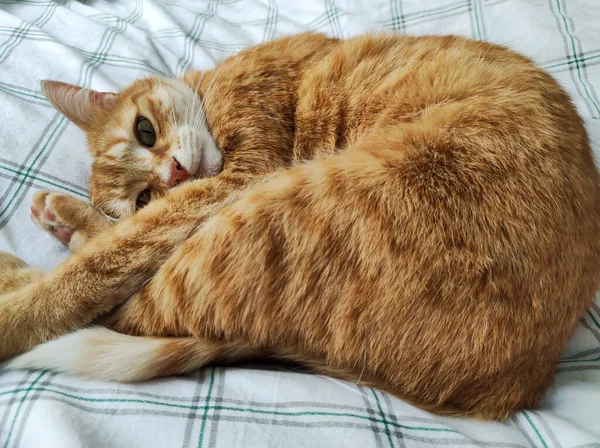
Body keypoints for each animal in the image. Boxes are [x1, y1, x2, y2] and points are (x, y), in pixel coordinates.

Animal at [1, 32, 600, 420]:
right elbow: (124, 242)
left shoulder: (237, 177)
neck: (214, 86)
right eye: (143, 194)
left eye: (144, 131)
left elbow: (106, 260)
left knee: (132, 311)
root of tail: (517, 383)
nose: (174, 172)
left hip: (268, 212)